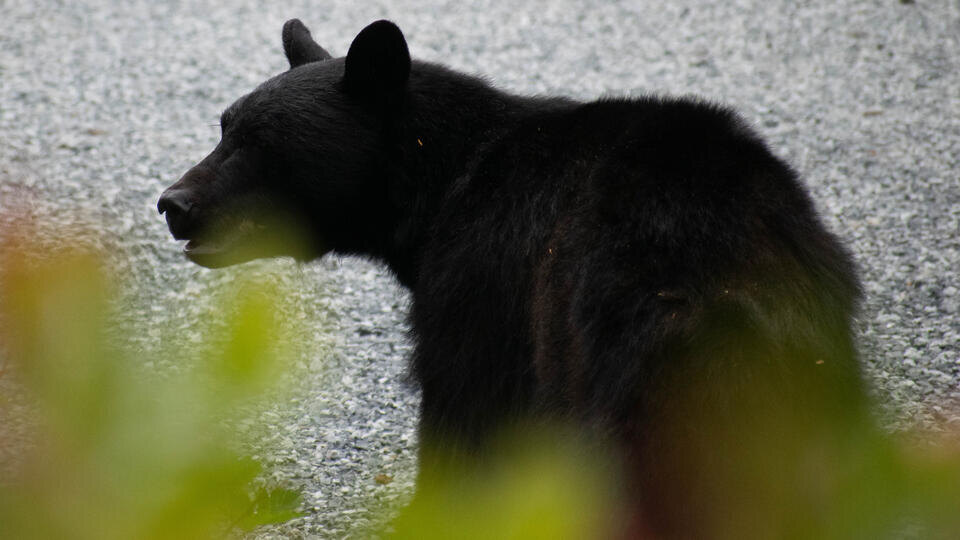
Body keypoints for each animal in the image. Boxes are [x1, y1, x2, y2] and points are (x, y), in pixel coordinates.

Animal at [159, 19, 873, 538]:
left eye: (261, 144)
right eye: (224, 127)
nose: (173, 203)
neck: (440, 185)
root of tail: (732, 275)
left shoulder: (481, 282)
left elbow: (465, 414)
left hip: (612, 353)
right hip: (811, 365)